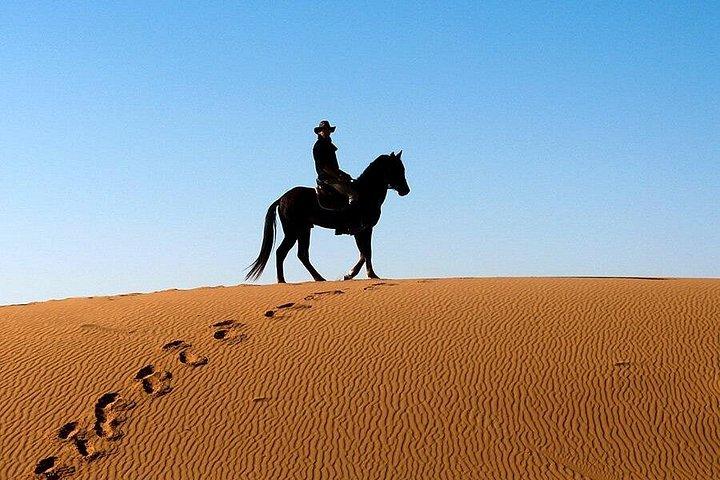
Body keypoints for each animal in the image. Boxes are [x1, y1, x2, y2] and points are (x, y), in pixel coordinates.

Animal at [245, 151, 410, 283]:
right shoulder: (361, 229)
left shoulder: (365, 229)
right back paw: (282, 280)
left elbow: (366, 252)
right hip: (293, 231)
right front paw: (352, 274)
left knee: (302, 254)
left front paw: (367, 274)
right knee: (282, 252)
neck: (366, 193)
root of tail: (281, 199)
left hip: (304, 230)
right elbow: (365, 253)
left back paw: (318, 278)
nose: (406, 190)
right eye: (396, 169)